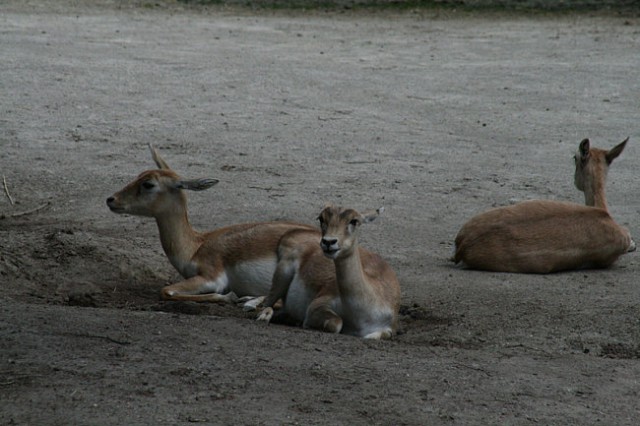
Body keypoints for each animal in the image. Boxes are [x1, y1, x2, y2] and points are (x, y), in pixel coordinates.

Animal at [107, 146, 316, 302]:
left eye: (148, 184)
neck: (195, 247)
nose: (111, 199)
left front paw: (231, 297)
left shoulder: (212, 278)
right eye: (139, 175)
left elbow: (166, 291)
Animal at [256, 203, 400, 340]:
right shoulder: (318, 304)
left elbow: (376, 335)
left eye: (354, 221)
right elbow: (336, 323)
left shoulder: (388, 328)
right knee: (265, 303)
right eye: (321, 218)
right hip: (282, 275)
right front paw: (304, 324)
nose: (328, 242)